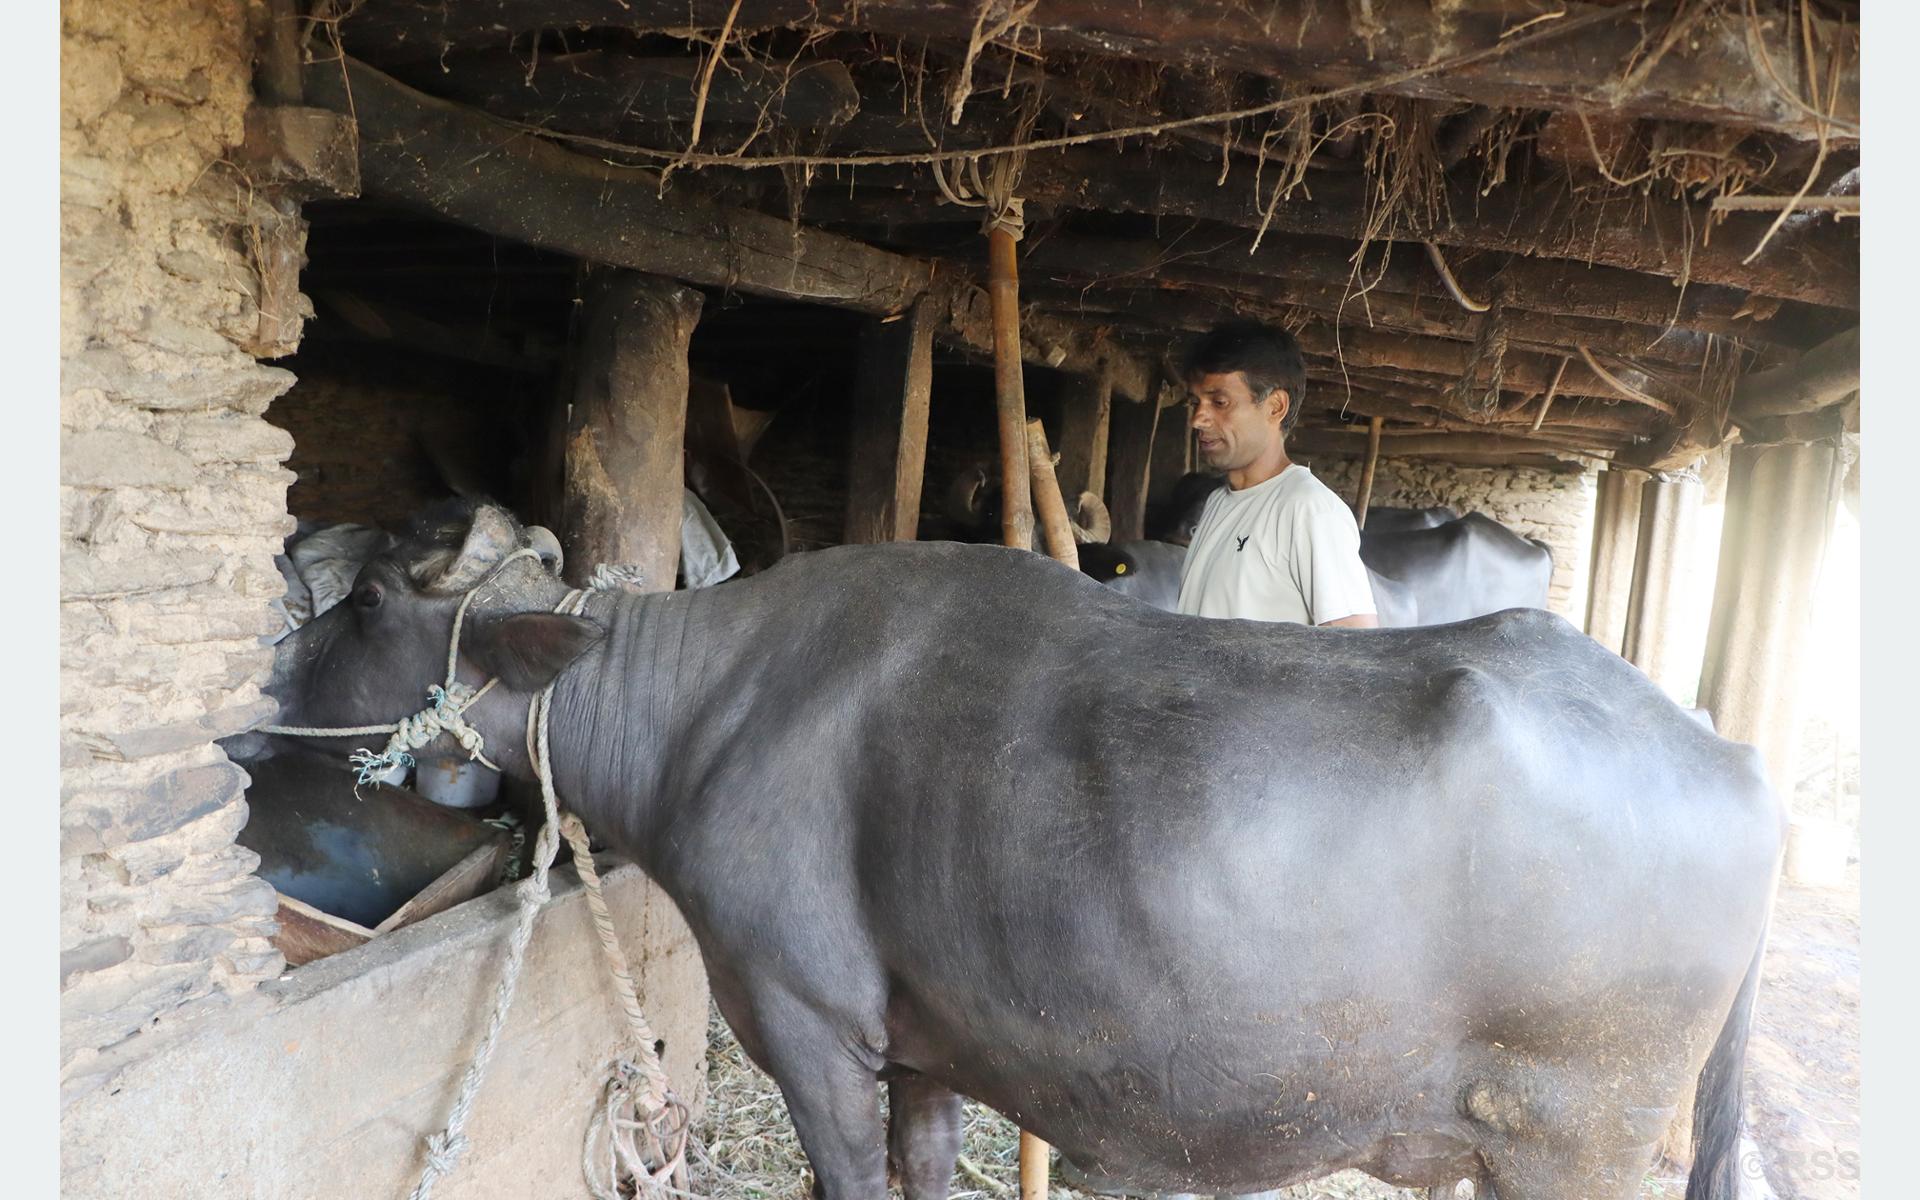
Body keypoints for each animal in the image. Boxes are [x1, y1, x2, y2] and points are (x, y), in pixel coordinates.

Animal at [259, 499, 1781, 1198]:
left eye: (373, 597)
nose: (259, 707)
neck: (707, 705)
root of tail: (1741, 766)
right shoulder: (930, 1048)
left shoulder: (806, 1024)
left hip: (1579, 1142)